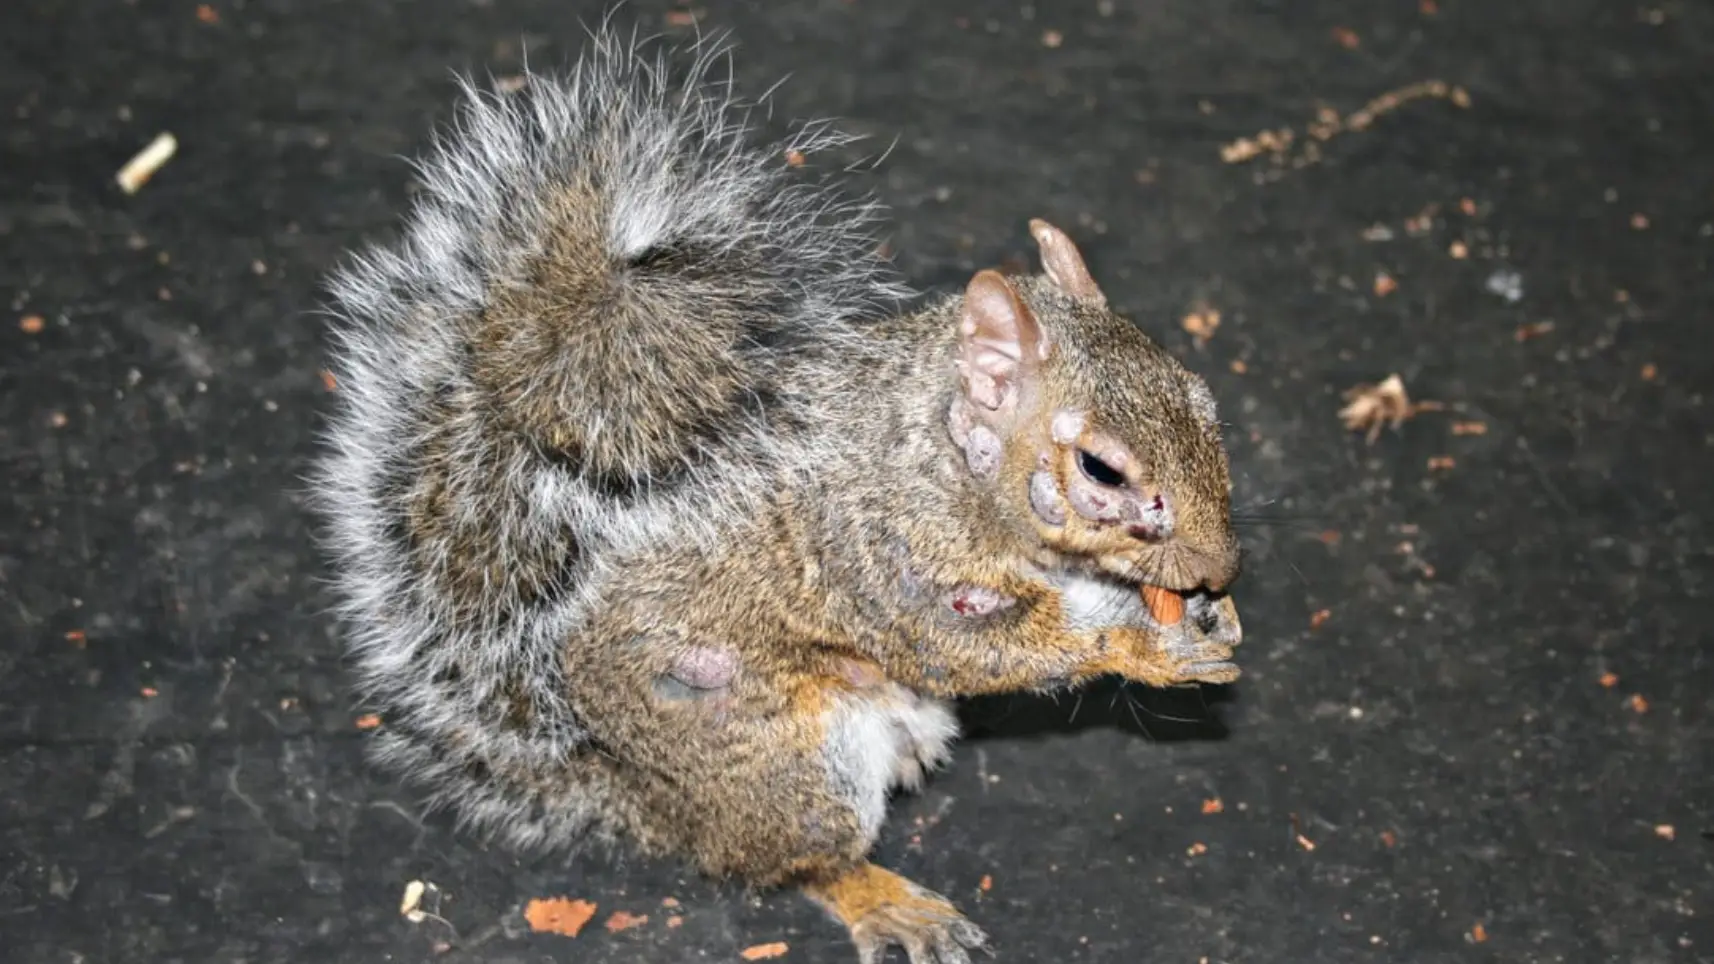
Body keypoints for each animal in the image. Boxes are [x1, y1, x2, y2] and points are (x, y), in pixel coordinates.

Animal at [311, 27, 1245, 964]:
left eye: (1202, 397)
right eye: (1101, 471)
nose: (1220, 567)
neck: (946, 464)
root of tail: (656, 801)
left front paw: (1206, 618)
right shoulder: (889, 562)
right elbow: (981, 655)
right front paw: (1149, 650)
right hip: (785, 759)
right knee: (793, 863)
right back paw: (885, 902)